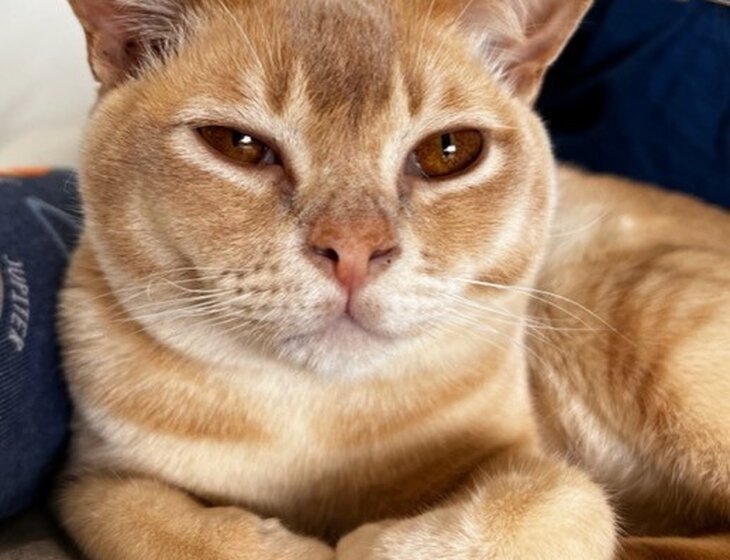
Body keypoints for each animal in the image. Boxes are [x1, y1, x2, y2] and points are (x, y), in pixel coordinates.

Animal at [57, 0, 729, 558]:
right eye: (238, 144)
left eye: (449, 150)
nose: (354, 251)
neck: (314, 425)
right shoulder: (88, 481)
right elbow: (170, 530)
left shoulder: (524, 459)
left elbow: (563, 502)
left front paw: (371, 541)